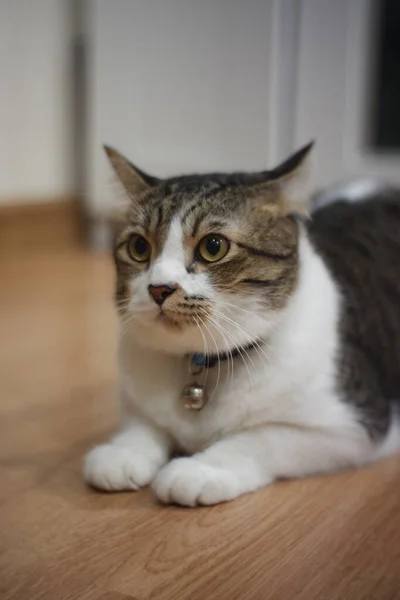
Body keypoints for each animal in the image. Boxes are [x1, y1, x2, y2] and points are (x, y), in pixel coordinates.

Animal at [83, 144, 398, 506]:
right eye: (138, 247)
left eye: (213, 246)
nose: (159, 288)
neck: (201, 364)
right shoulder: (135, 399)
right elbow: (142, 424)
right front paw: (122, 452)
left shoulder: (353, 424)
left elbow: (260, 437)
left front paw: (199, 470)